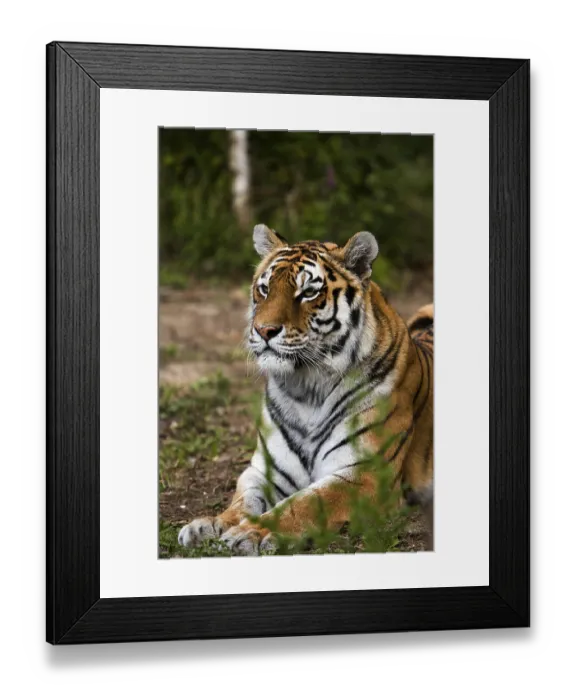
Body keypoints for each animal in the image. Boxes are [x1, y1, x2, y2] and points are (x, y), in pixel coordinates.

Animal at [178, 224, 434, 555]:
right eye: (265, 289)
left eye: (309, 292)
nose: (264, 330)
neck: (305, 389)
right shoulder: (265, 469)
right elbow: (242, 500)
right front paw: (208, 525)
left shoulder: (365, 474)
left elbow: (304, 504)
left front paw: (250, 533)